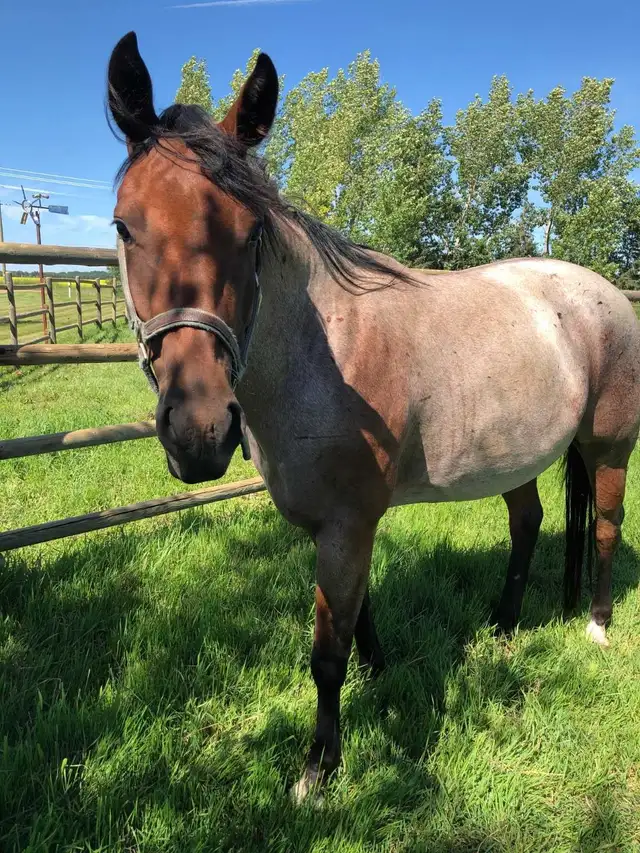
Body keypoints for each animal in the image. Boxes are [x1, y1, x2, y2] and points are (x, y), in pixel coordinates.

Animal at [107, 32, 640, 800]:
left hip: (609, 448)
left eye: (251, 231)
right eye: (125, 226)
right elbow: (358, 615)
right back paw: (503, 624)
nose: (200, 430)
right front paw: (380, 675)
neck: (326, 352)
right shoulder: (339, 528)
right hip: (519, 457)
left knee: (603, 526)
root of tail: (602, 291)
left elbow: (326, 651)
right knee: (528, 525)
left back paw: (596, 625)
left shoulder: (346, 525)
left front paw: (318, 769)